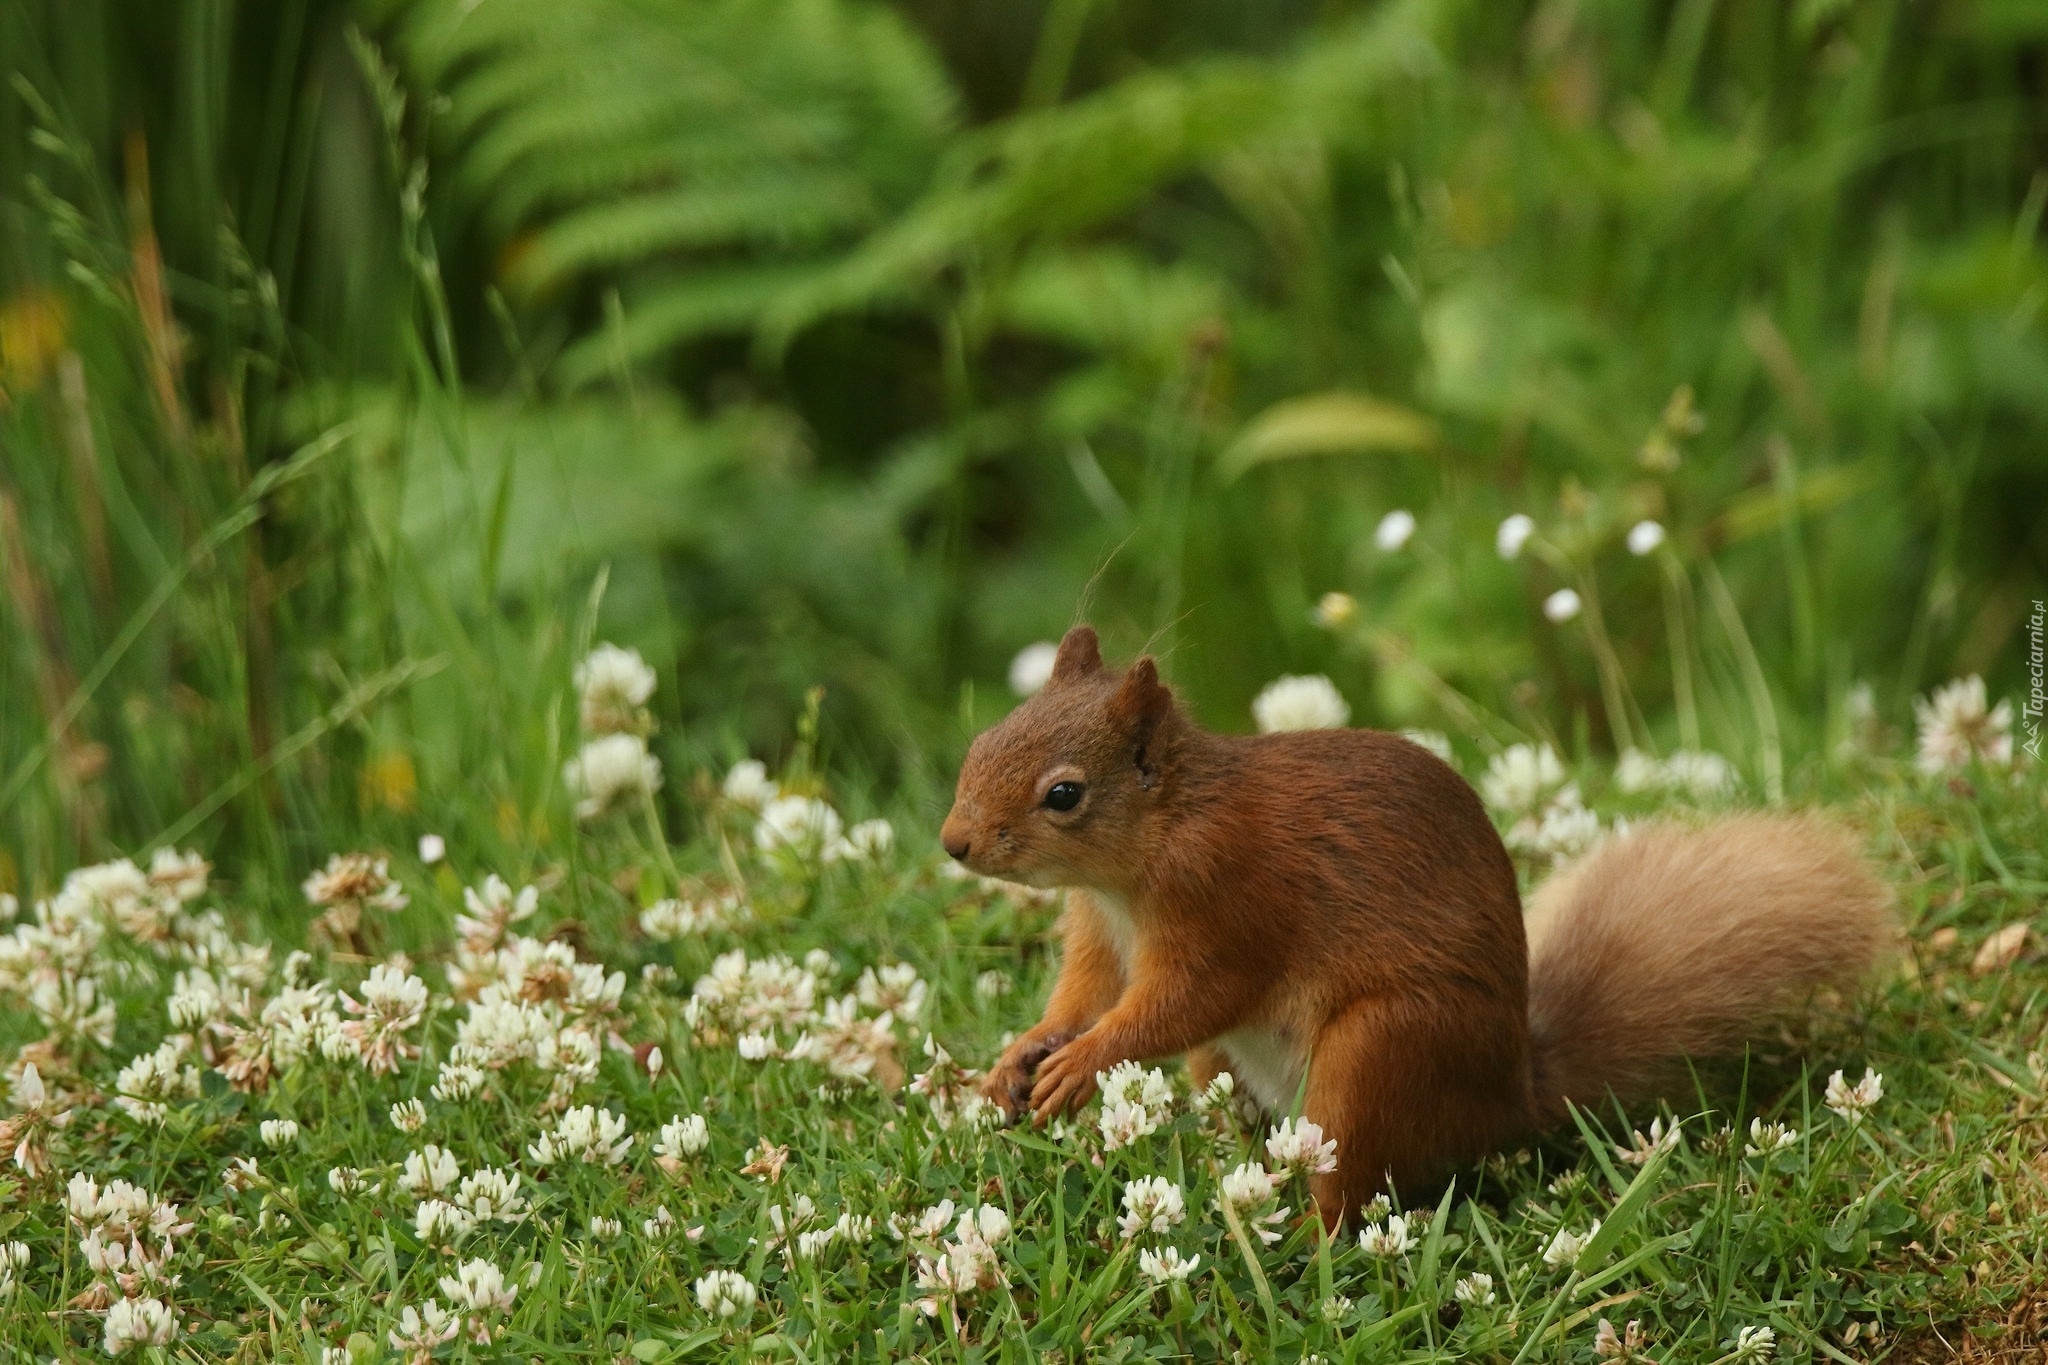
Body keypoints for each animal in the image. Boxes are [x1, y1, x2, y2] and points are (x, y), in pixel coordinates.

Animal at [937, 630, 1884, 1227]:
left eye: (1064, 793)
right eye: (980, 739)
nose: (954, 842)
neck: (1131, 868)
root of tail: (1508, 1101)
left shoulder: (1230, 903)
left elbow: (1187, 998)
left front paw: (1083, 1062)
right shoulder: (1098, 931)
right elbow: (1085, 992)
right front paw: (1022, 1054)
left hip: (1385, 1048)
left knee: (1348, 1191)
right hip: (1243, 1070)